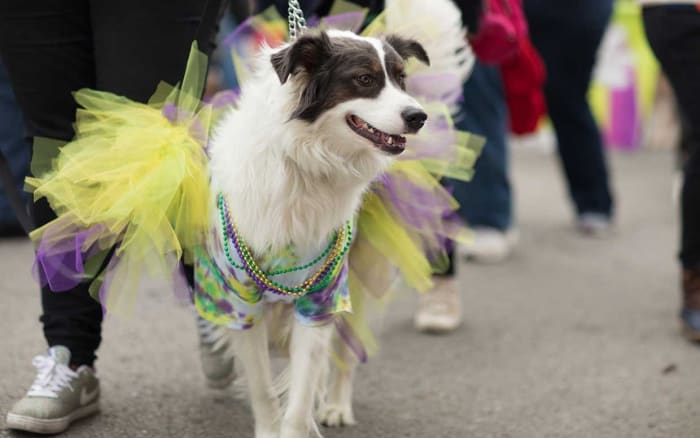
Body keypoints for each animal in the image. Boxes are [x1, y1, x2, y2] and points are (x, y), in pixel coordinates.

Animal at [202, 29, 430, 436]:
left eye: (402, 78)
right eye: (365, 79)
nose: (419, 116)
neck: (305, 164)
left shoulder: (323, 294)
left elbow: (304, 384)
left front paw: (301, 421)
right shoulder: (241, 300)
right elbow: (262, 386)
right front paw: (269, 426)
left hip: (358, 277)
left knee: (343, 351)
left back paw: (335, 406)